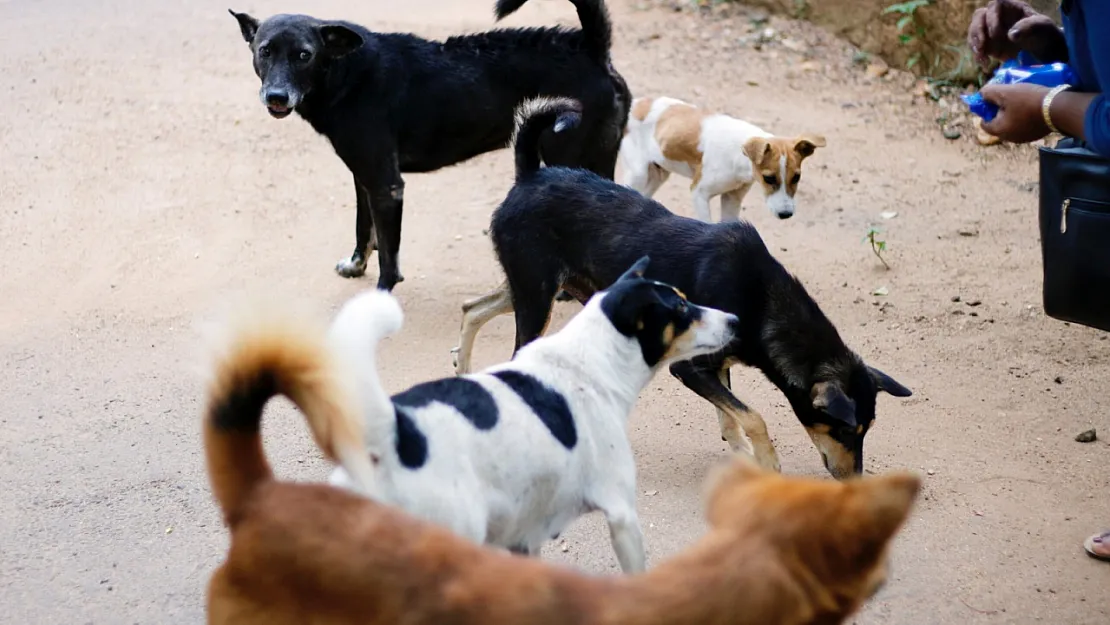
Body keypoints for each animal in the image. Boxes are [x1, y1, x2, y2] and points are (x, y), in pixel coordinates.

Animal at [225, 0, 634, 293]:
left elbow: (389, 259)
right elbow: (363, 228)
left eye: (304, 54)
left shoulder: (386, 184)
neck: (346, 71)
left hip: (567, 156)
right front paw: (356, 265)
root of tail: (590, 47)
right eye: (264, 51)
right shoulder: (364, 176)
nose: (276, 97)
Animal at [626, 96, 825, 224]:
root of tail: (637, 103)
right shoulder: (699, 193)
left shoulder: (732, 199)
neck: (738, 156)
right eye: (768, 178)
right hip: (638, 175)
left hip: (658, 175)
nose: (786, 214)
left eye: (797, 177)